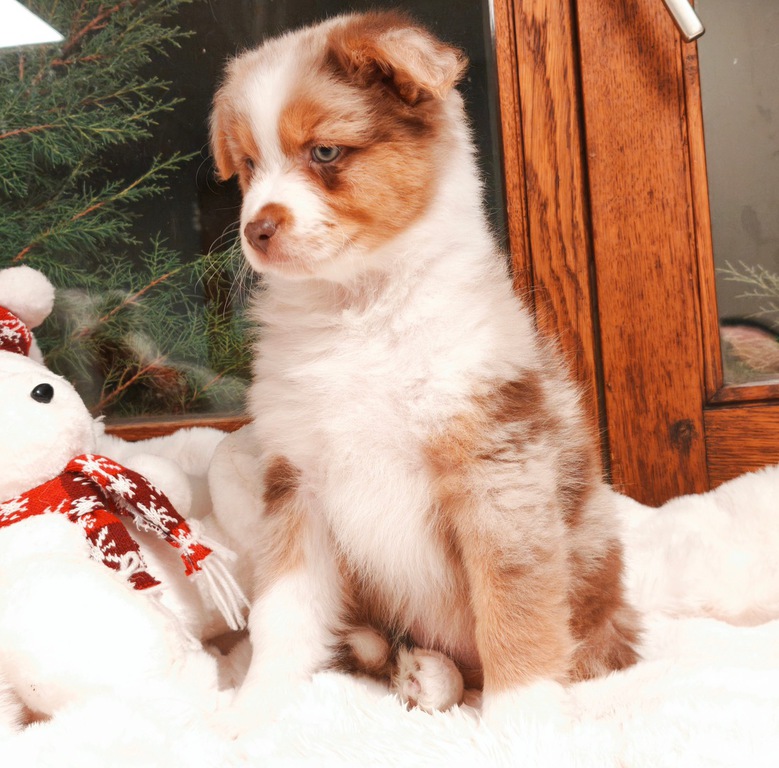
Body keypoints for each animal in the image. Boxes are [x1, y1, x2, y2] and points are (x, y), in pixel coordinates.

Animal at [209, 10, 640, 729]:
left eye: (324, 153)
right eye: (247, 164)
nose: (256, 230)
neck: (360, 308)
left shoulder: (498, 469)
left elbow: (514, 605)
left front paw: (525, 723)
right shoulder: (298, 480)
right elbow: (283, 613)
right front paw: (253, 709)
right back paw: (425, 673)